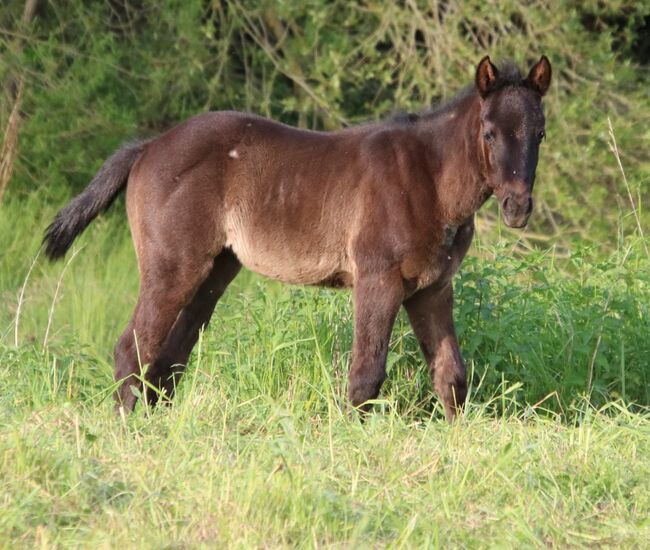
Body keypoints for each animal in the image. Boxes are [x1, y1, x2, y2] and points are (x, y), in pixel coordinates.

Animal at [43, 54, 548, 420]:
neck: (427, 179)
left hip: (214, 272)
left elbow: (451, 376)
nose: (517, 207)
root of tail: (148, 146)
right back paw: (126, 432)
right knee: (133, 349)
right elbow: (366, 375)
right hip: (173, 266)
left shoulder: (432, 288)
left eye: (540, 134)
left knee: (168, 360)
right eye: (488, 133)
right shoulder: (378, 279)